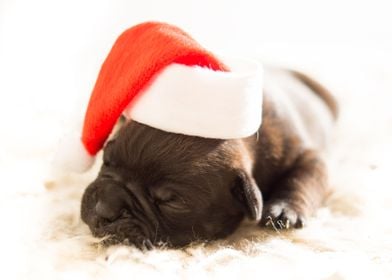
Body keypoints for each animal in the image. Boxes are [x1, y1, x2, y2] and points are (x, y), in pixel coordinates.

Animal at [79, 66, 336, 248]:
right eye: (107, 160)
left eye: (170, 201)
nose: (104, 208)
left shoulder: (304, 153)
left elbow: (303, 177)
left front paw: (285, 209)